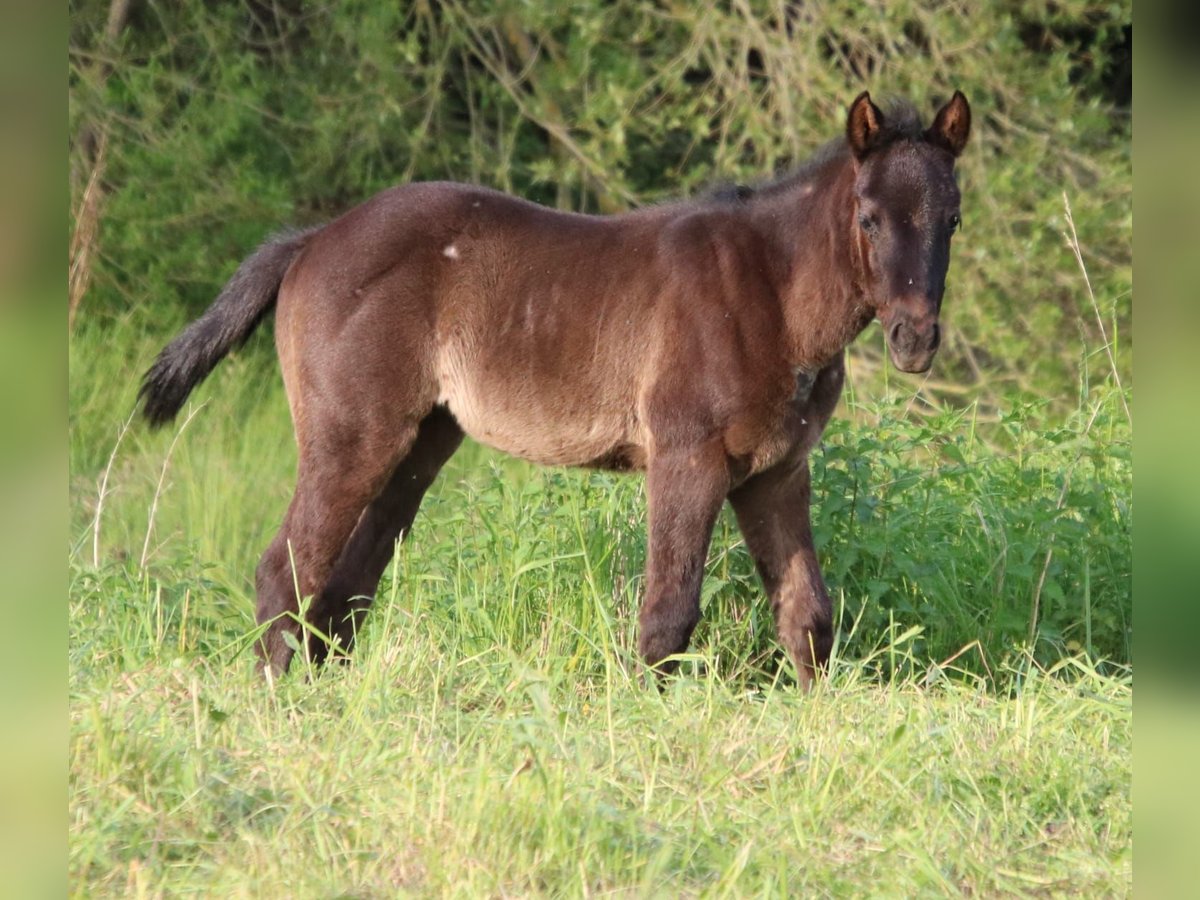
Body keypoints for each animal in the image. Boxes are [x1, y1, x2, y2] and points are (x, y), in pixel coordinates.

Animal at [140, 91, 969, 686]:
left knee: (344, 589)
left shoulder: (776, 472)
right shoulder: (687, 457)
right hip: (354, 434)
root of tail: (312, 239)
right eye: (868, 217)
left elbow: (808, 616)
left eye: (953, 220)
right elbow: (669, 613)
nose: (915, 339)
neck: (769, 292)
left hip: (420, 444)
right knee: (287, 570)